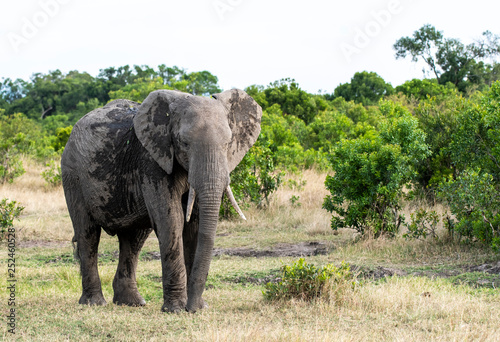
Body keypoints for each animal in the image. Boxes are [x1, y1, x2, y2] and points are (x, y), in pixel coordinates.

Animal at [61, 88, 262, 312]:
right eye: (184, 143)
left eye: (227, 144)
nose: (193, 308)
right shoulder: (151, 161)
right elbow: (172, 221)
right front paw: (176, 309)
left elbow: (194, 224)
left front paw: (198, 307)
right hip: (72, 174)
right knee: (88, 233)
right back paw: (94, 302)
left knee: (134, 239)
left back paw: (132, 302)